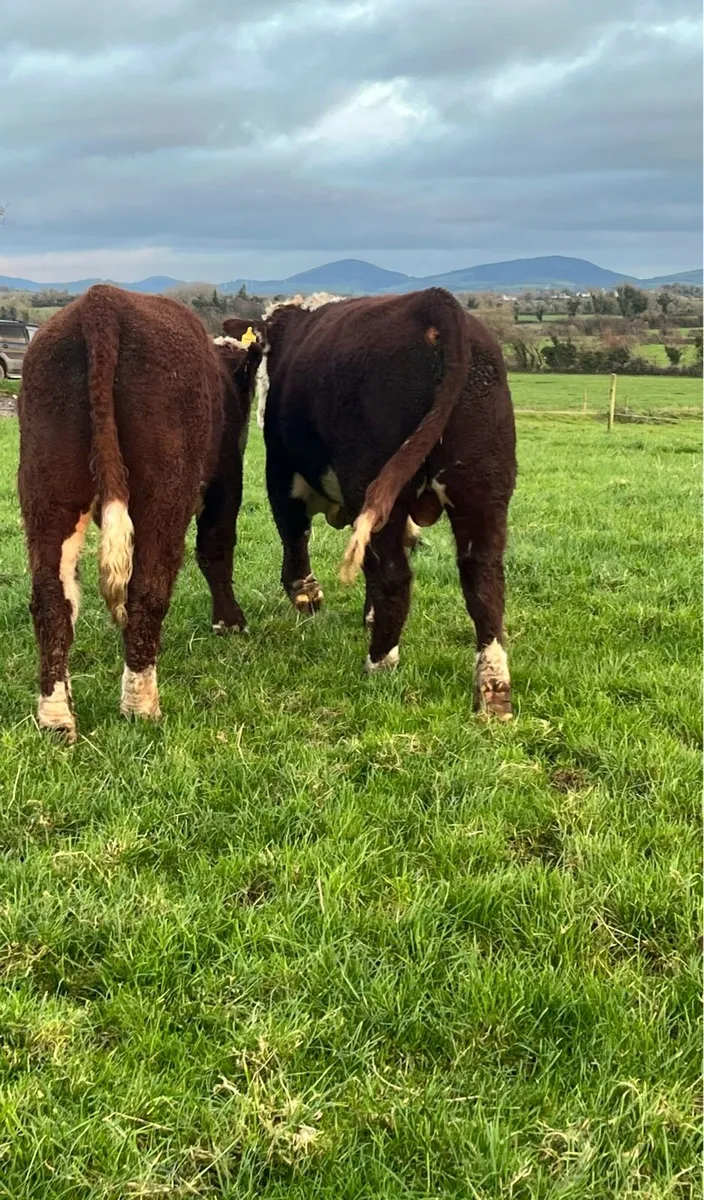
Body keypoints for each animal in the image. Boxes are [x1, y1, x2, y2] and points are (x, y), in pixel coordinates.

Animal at [17, 284, 261, 742]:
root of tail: (102, 302)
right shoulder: (225, 479)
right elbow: (216, 549)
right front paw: (229, 622)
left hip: (48, 489)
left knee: (52, 598)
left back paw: (57, 718)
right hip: (163, 493)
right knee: (147, 591)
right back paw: (141, 706)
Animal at [226, 287, 516, 718]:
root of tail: (433, 302)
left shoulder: (282, 470)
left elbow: (294, 534)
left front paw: (306, 594)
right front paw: (367, 614)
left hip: (376, 480)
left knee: (395, 575)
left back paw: (379, 660)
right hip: (483, 488)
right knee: (483, 581)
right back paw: (493, 690)